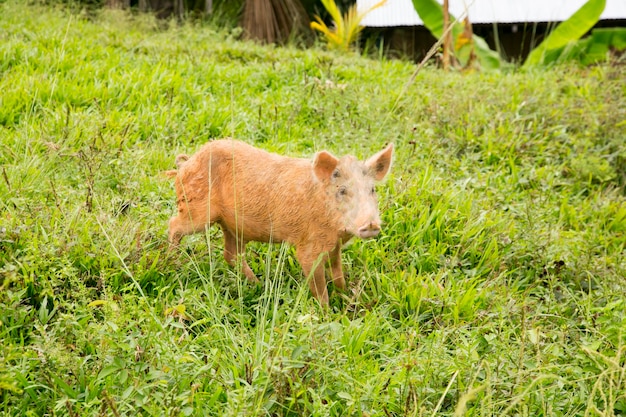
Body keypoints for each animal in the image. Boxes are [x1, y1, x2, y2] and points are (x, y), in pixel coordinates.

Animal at [166, 138, 390, 304]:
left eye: (372, 189)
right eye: (342, 191)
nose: (371, 224)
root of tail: (186, 162)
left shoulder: (335, 245)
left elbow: (337, 272)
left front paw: (346, 298)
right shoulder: (308, 246)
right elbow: (318, 284)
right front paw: (327, 313)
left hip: (233, 226)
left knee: (231, 255)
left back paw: (258, 285)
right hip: (197, 211)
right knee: (173, 224)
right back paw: (172, 261)